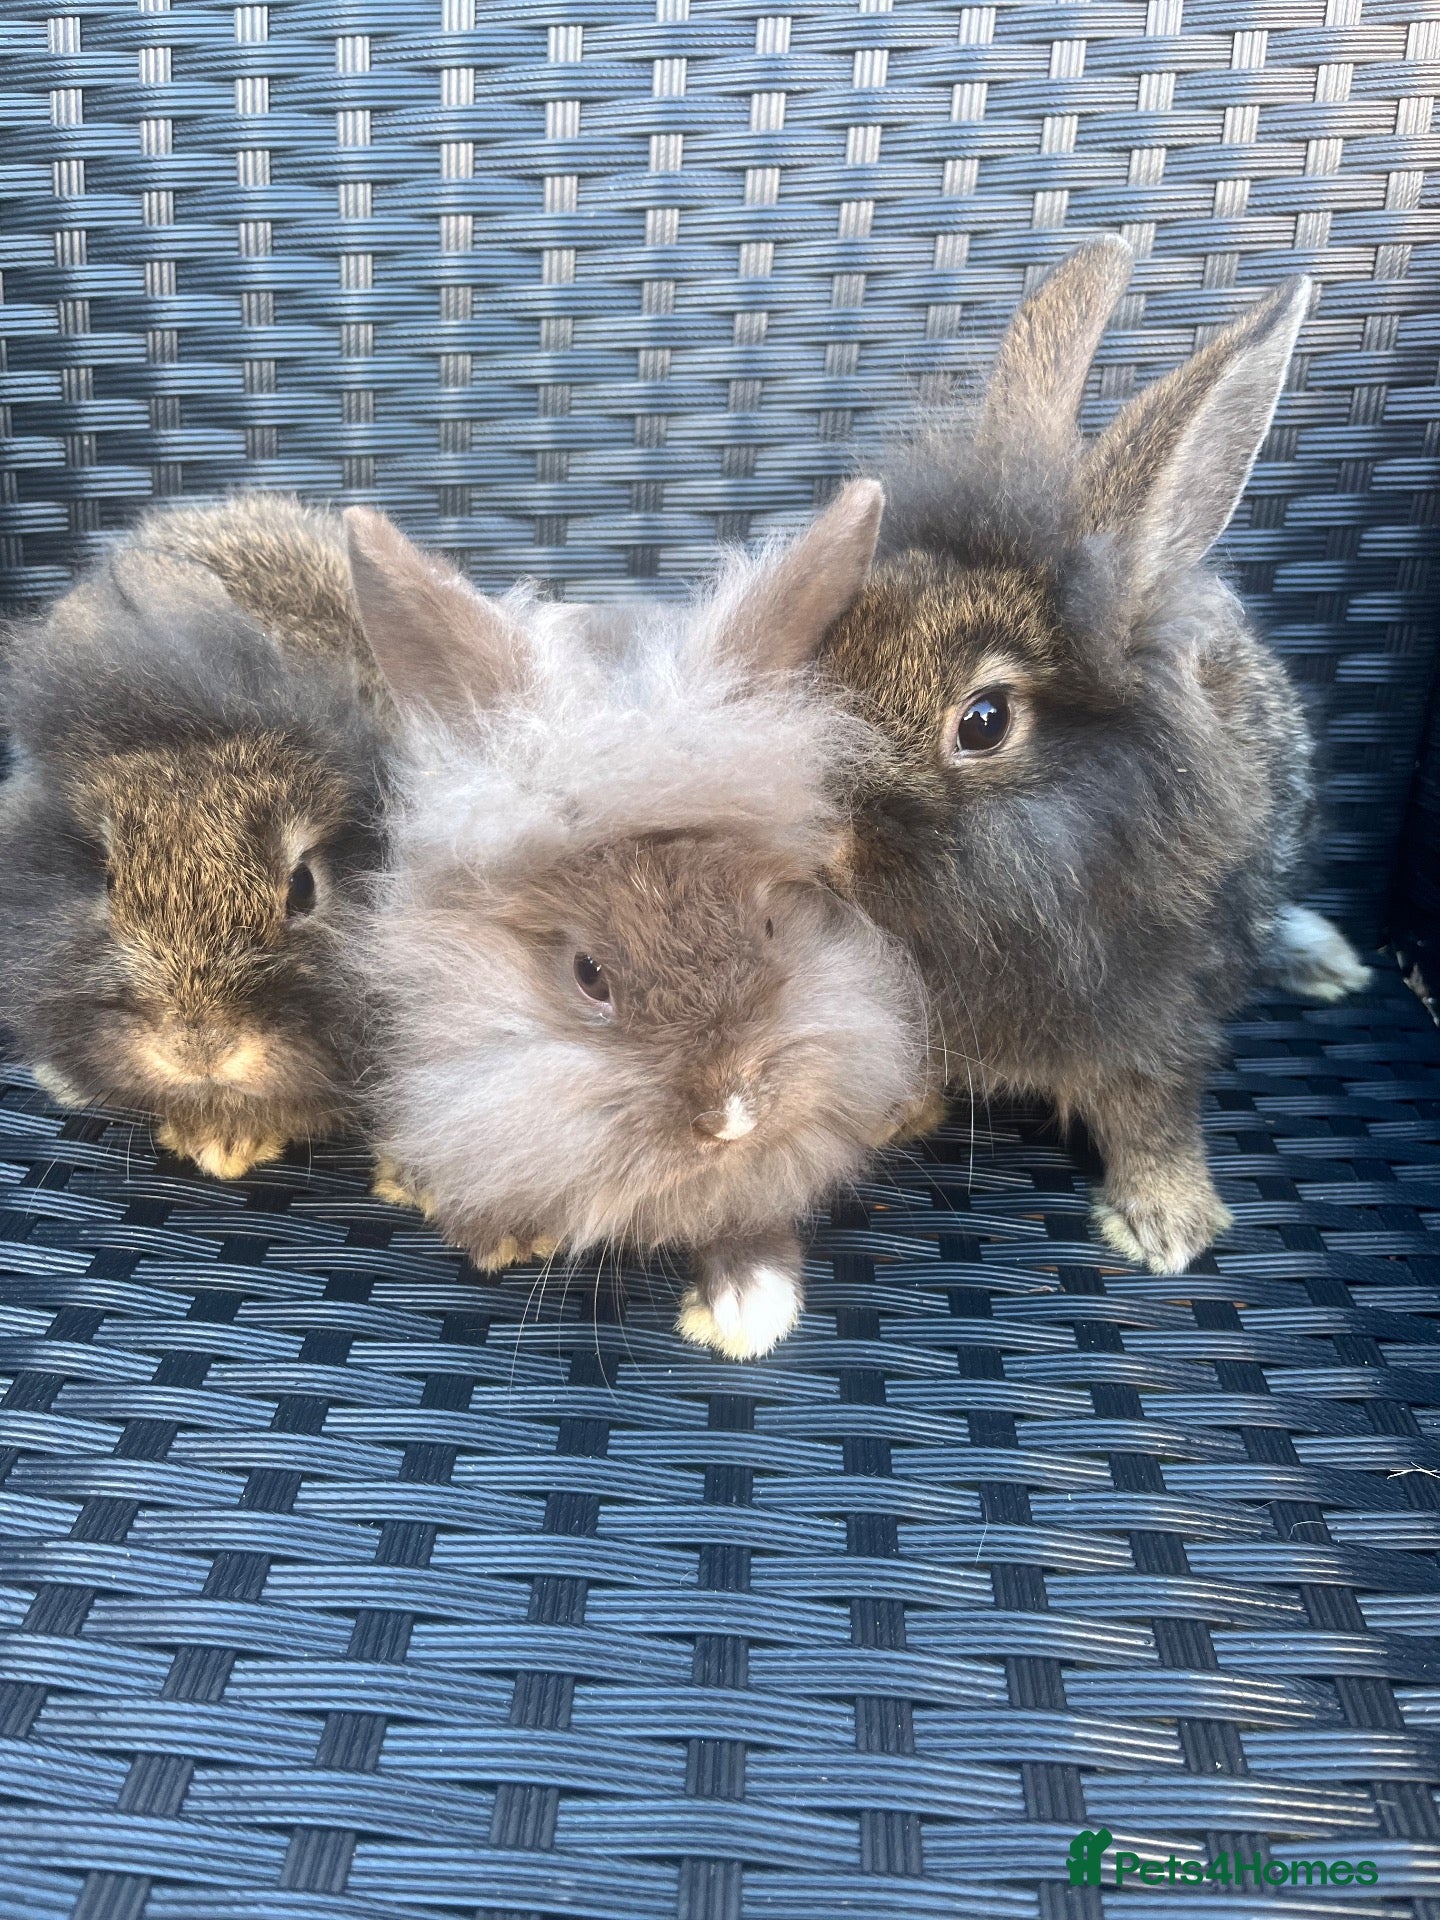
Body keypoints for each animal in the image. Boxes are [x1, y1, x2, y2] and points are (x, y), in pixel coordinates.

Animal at [821, 239, 1369, 1275]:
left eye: (984, 720)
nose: (817, 833)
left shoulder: (1156, 1013)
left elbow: (1153, 1110)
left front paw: (1168, 1225)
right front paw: (883, 1117)